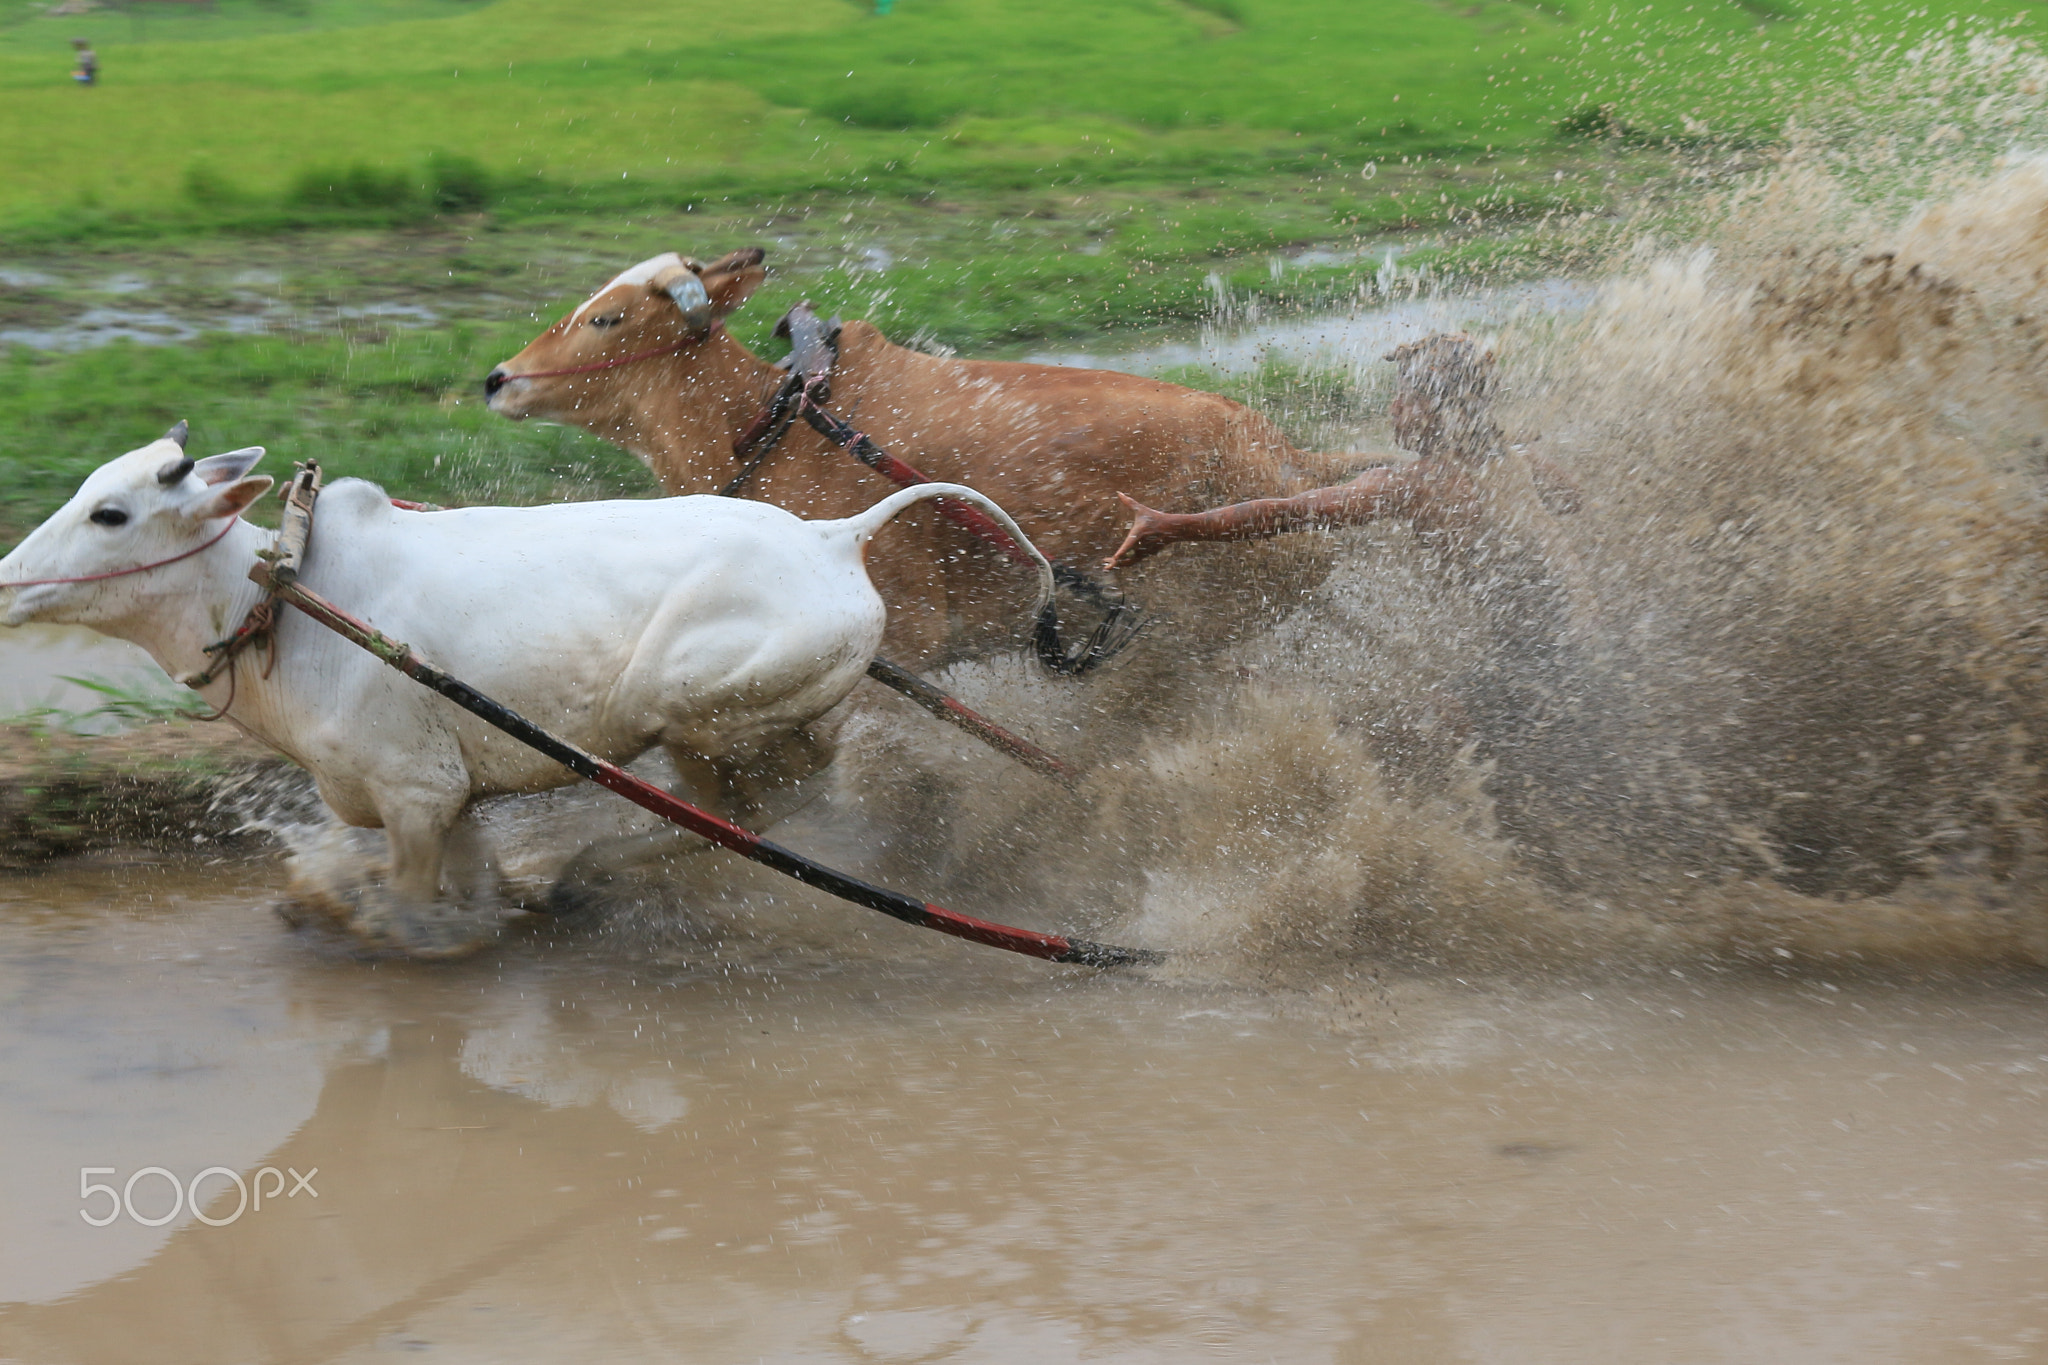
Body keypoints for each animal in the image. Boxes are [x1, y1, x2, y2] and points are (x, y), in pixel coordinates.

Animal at [0, 431, 1048, 957]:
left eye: (111, 513)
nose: (7, 580)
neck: (281, 601)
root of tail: (837, 537)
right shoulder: (447, 799)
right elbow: (472, 882)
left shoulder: (415, 795)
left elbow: (413, 907)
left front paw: (368, 925)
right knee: (753, 808)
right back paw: (581, 879)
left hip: (695, 705)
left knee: (766, 799)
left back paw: (586, 874)